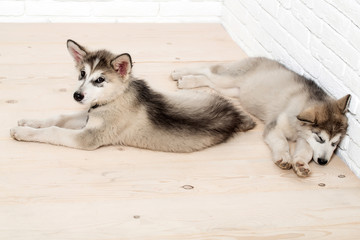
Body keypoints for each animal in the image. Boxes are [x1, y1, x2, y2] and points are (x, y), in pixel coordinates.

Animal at [9, 39, 256, 152]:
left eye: (100, 80)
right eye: (82, 74)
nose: (77, 96)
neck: (115, 99)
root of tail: (234, 116)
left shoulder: (88, 138)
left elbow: (54, 131)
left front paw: (23, 132)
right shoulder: (89, 115)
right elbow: (59, 117)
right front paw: (30, 121)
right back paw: (183, 76)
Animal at [173, 57, 350, 175]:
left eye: (335, 143)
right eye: (320, 138)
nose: (323, 163)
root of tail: (260, 58)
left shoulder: (305, 138)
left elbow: (307, 152)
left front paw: (300, 164)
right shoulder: (275, 126)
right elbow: (282, 142)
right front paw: (284, 157)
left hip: (231, 90)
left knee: (208, 79)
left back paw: (189, 80)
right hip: (227, 79)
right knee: (209, 69)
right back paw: (181, 74)